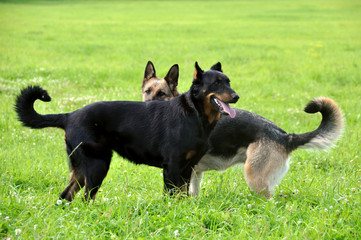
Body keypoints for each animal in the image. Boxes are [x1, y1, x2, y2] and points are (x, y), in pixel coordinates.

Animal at [14, 62, 239, 201]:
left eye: (228, 81)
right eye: (216, 83)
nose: (236, 96)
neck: (195, 114)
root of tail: (69, 115)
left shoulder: (187, 168)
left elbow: (182, 196)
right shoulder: (173, 167)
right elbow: (171, 197)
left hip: (80, 169)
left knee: (66, 196)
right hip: (97, 165)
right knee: (87, 198)